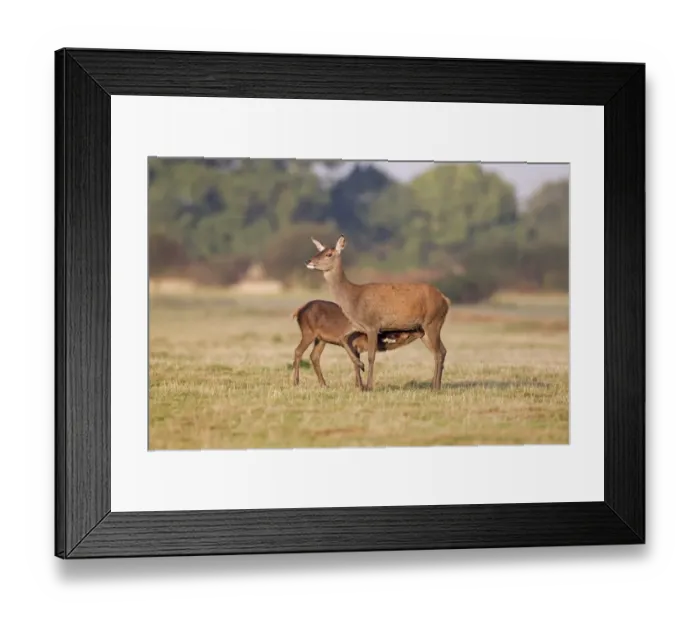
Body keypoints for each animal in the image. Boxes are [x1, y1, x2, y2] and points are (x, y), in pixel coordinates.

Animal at [291, 299, 424, 388]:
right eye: (408, 330)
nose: (421, 329)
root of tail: (298, 311)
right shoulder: (350, 340)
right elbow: (354, 358)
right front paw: (361, 381)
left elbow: (355, 364)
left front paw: (359, 384)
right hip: (308, 332)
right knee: (298, 351)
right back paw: (296, 382)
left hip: (321, 339)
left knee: (314, 356)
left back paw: (324, 384)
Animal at [305, 236, 451, 391]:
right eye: (319, 251)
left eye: (329, 254)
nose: (309, 261)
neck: (354, 299)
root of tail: (445, 300)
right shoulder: (357, 325)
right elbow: (343, 338)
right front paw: (360, 365)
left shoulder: (372, 325)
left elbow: (371, 356)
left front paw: (368, 386)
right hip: (424, 328)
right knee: (441, 351)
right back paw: (434, 385)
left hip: (433, 321)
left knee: (438, 352)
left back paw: (436, 387)